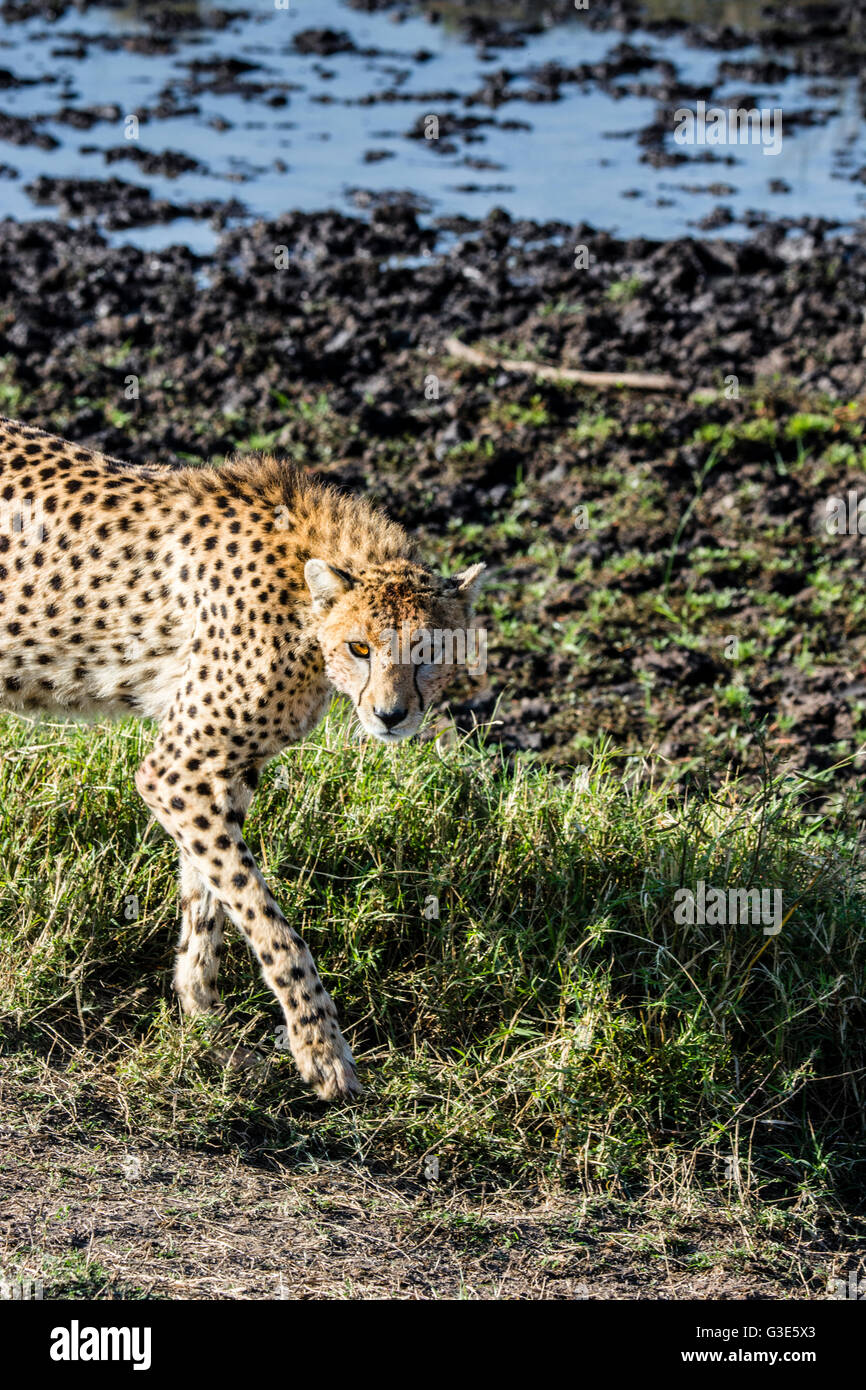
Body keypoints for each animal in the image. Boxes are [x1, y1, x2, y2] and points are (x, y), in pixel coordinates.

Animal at [0, 411, 489, 1095]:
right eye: (362, 648)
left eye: (429, 651)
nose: (391, 716)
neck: (304, 614)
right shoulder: (175, 771)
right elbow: (265, 915)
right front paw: (321, 1050)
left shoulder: (221, 772)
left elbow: (209, 896)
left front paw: (202, 1018)